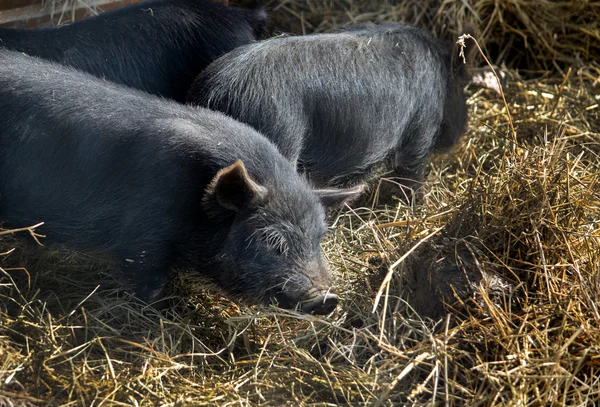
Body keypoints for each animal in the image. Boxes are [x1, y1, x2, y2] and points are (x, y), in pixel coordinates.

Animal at [0, 48, 360, 316]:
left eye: (318, 238)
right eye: (270, 240)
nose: (327, 298)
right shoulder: (142, 241)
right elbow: (150, 284)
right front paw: (159, 314)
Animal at [185, 23, 472, 192]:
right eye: (461, 86)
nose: (460, 136)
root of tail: (215, 93)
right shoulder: (422, 126)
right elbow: (411, 171)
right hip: (279, 132)